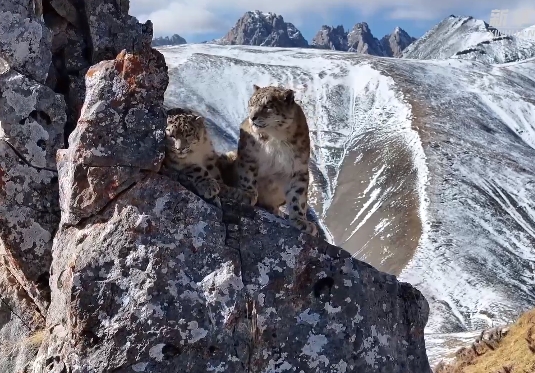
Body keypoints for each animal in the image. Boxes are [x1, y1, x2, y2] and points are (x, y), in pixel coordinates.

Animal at [234, 84, 318, 235]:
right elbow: (247, 174)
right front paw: (247, 194)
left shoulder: (299, 169)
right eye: (251, 103)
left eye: (268, 105)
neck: (276, 138)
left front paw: (301, 221)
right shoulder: (249, 153)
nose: (252, 117)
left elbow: (298, 196)